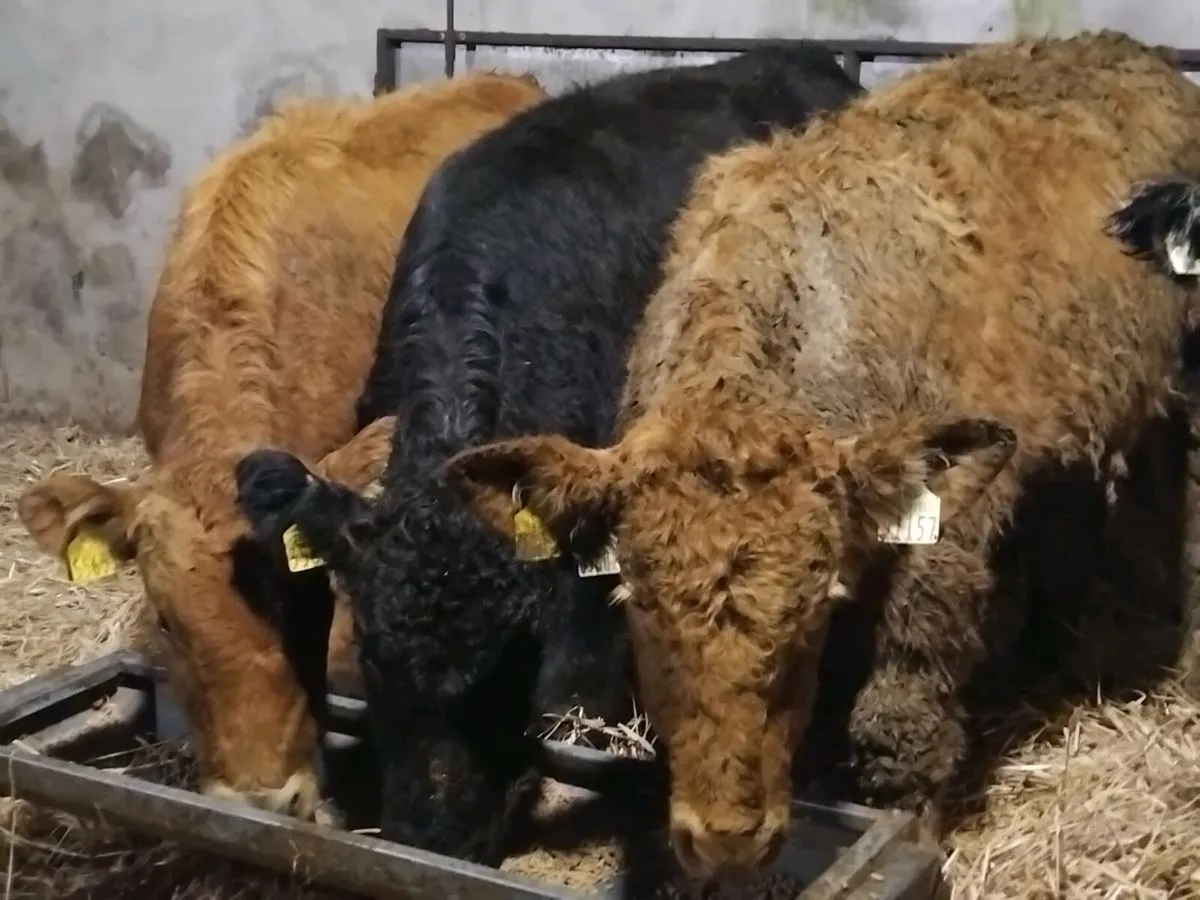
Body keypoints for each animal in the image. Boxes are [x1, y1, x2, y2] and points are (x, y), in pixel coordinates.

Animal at [438, 32, 1200, 877]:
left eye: (810, 618)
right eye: (642, 613)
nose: (728, 839)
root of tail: (1129, 50)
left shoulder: (940, 538)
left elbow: (902, 708)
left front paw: (909, 824)